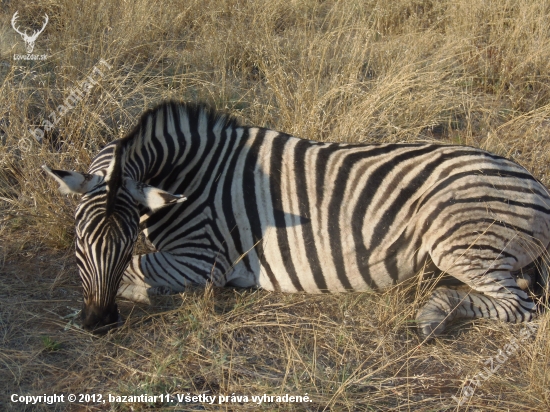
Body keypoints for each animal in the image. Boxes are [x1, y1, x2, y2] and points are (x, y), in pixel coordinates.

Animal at [43, 101, 550, 336]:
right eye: (78, 242)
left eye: (125, 240)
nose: (97, 323)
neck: (187, 175)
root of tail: (534, 181)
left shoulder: (202, 259)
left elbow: (136, 270)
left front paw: (142, 292)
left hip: (457, 236)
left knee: (521, 306)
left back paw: (435, 314)